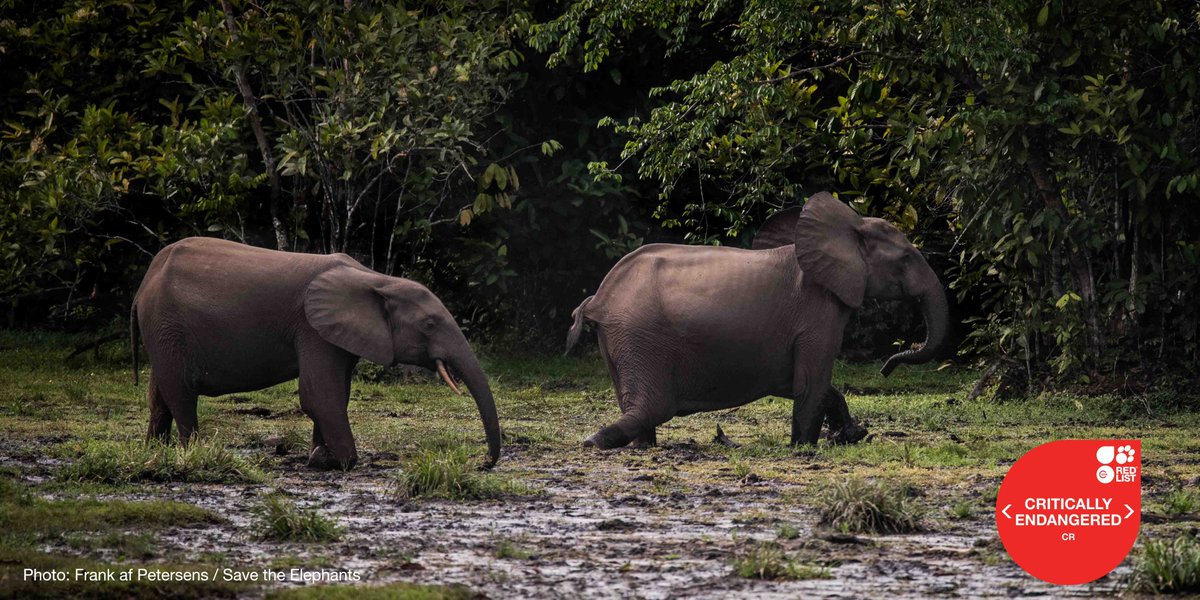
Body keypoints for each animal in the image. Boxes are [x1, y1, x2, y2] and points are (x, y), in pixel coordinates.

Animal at [130, 237, 501, 470]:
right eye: (429, 324)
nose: (483, 463)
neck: (376, 279)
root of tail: (143, 284)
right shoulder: (311, 328)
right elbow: (319, 396)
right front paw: (333, 461)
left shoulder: (334, 335)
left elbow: (335, 395)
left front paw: (318, 456)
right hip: (166, 325)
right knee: (181, 394)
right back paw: (193, 453)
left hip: (163, 332)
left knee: (159, 396)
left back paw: (155, 452)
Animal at [564, 192, 950, 450]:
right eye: (906, 258)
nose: (885, 368)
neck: (847, 226)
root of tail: (599, 298)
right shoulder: (818, 311)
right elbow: (811, 384)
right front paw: (804, 449)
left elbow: (810, 385)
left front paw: (849, 435)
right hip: (640, 336)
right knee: (653, 407)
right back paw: (594, 441)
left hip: (621, 339)